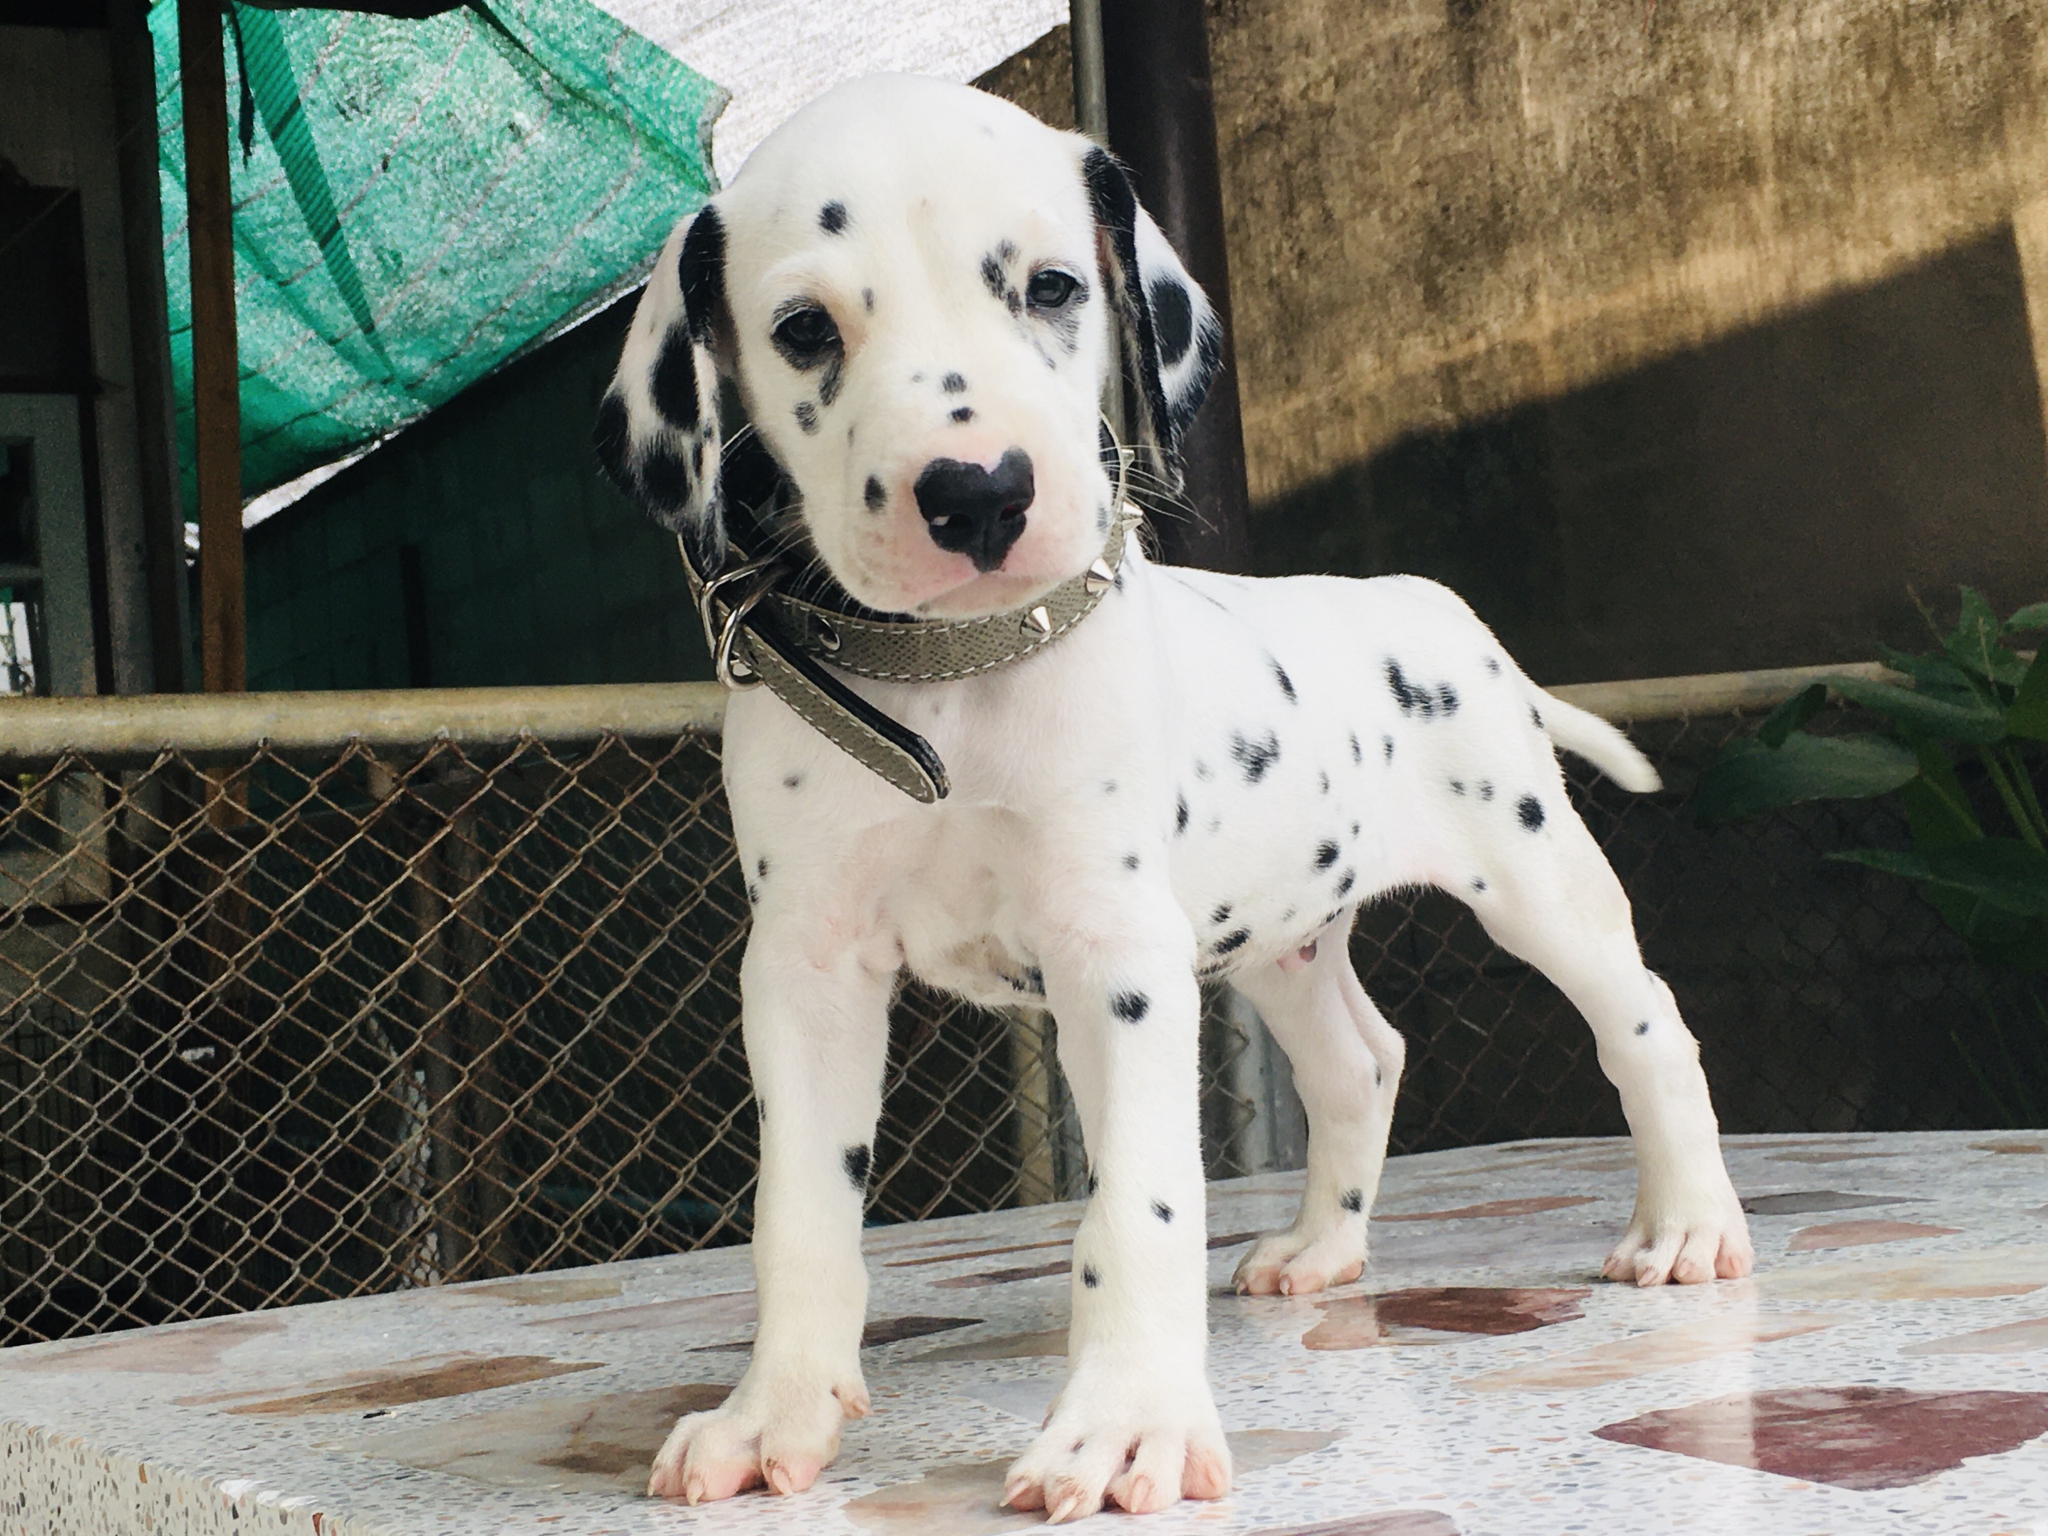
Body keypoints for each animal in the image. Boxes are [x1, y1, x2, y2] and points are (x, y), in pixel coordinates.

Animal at [595, 74, 1755, 1522]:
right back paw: (1319, 1250)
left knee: (1646, 1023)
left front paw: (1123, 1427)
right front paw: (775, 1412)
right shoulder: (807, 966)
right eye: (803, 329)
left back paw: (1689, 1222)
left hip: (1534, 880)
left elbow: (1137, 1205)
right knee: (1361, 1062)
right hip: (1279, 940)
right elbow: (800, 1214)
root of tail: (1427, 606)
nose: (977, 494)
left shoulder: (1118, 958)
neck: (954, 682)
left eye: (1049, 287)